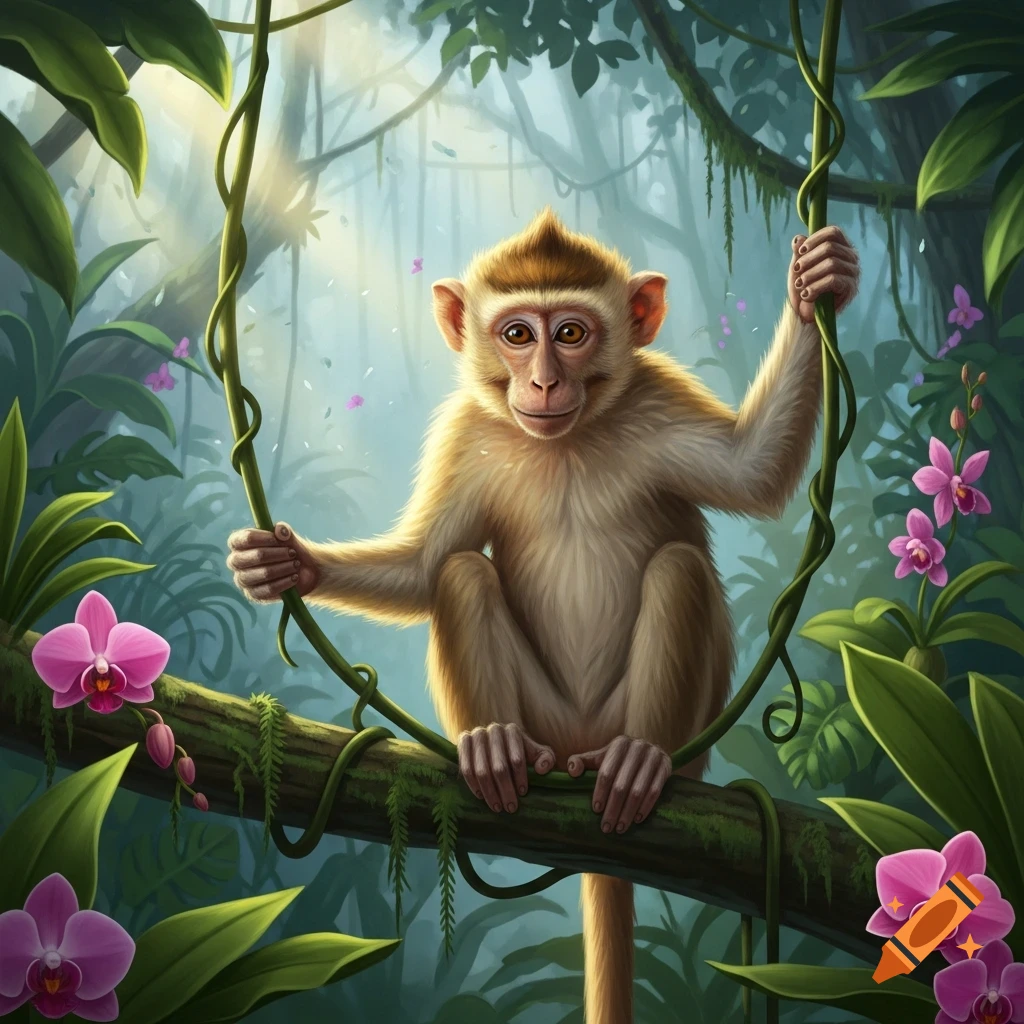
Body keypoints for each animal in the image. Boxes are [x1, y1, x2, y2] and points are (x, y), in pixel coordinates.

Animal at [227, 208, 859, 1024]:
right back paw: (495, 747)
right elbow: (429, 566)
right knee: (463, 575)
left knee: (678, 571)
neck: (567, 441)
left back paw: (640, 760)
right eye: (519, 334)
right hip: (549, 723)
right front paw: (288, 565)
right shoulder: (467, 432)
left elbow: (757, 472)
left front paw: (816, 281)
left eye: (572, 333)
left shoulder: (656, 399)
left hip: (666, 733)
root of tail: (577, 752)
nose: (544, 381)